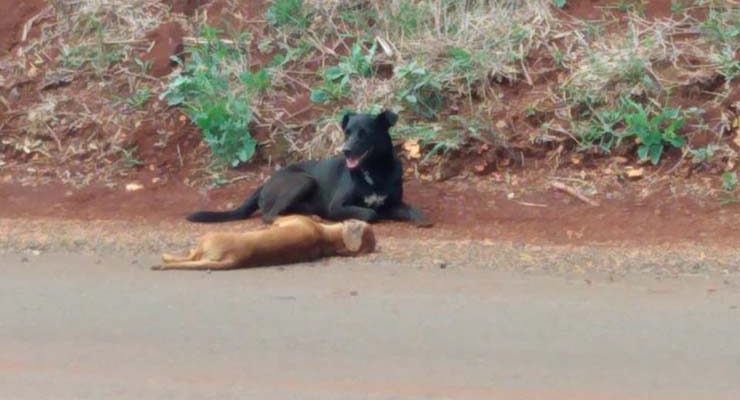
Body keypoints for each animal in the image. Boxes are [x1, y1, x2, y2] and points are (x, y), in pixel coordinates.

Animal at [185, 109, 430, 227]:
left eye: (365, 133)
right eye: (347, 132)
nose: (345, 150)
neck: (374, 171)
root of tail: (265, 183)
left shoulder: (394, 202)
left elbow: (410, 209)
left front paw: (421, 219)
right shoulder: (336, 206)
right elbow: (370, 212)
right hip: (304, 180)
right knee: (269, 215)